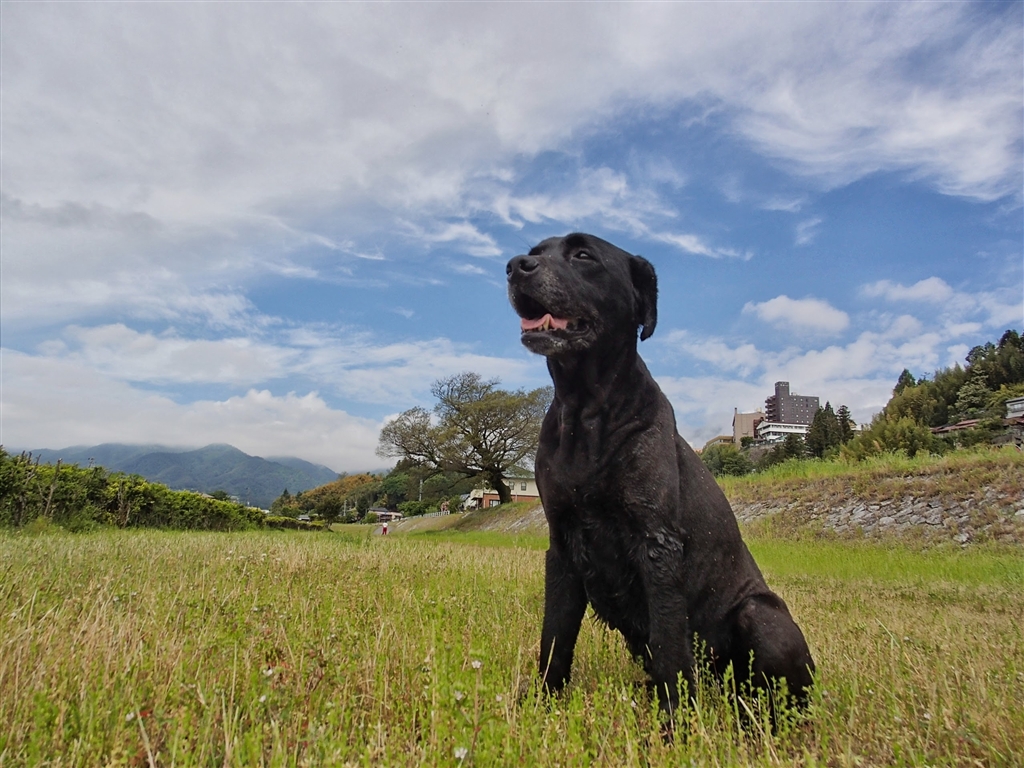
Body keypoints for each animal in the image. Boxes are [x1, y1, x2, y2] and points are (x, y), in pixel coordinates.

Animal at [506, 233, 814, 719]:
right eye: (535, 250)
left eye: (583, 255)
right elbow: (554, 637)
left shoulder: (657, 544)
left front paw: (676, 721)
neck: (585, 411)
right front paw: (544, 702)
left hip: (764, 618)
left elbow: (670, 641)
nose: (517, 265)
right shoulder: (562, 547)